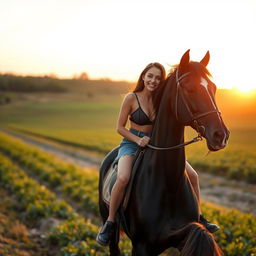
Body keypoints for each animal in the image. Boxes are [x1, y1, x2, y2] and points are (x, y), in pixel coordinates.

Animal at [98, 49, 230, 255]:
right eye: (190, 89)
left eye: (214, 88)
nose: (221, 135)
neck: (168, 183)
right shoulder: (141, 246)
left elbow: (198, 232)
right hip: (108, 223)